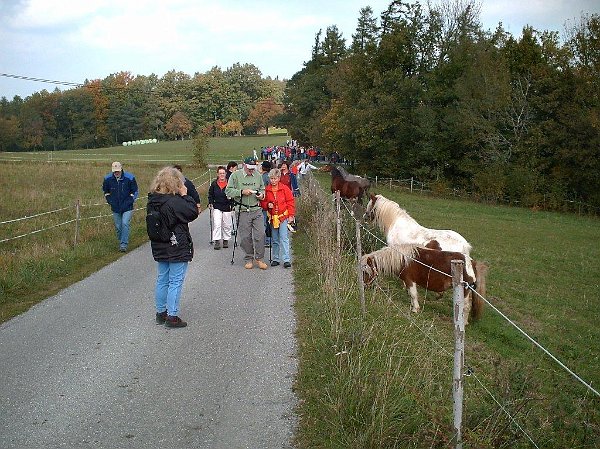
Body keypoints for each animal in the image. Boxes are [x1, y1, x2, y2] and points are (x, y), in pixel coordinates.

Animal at [358, 243, 486, 324]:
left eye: (365, 272)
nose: (363, 286)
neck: (403, 260)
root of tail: (471, 262)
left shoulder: (410, 281)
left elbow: (413, 294)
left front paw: (415, 309)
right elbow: (411, 295)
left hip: (465, 291)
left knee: (466, 306)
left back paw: (463, 323)